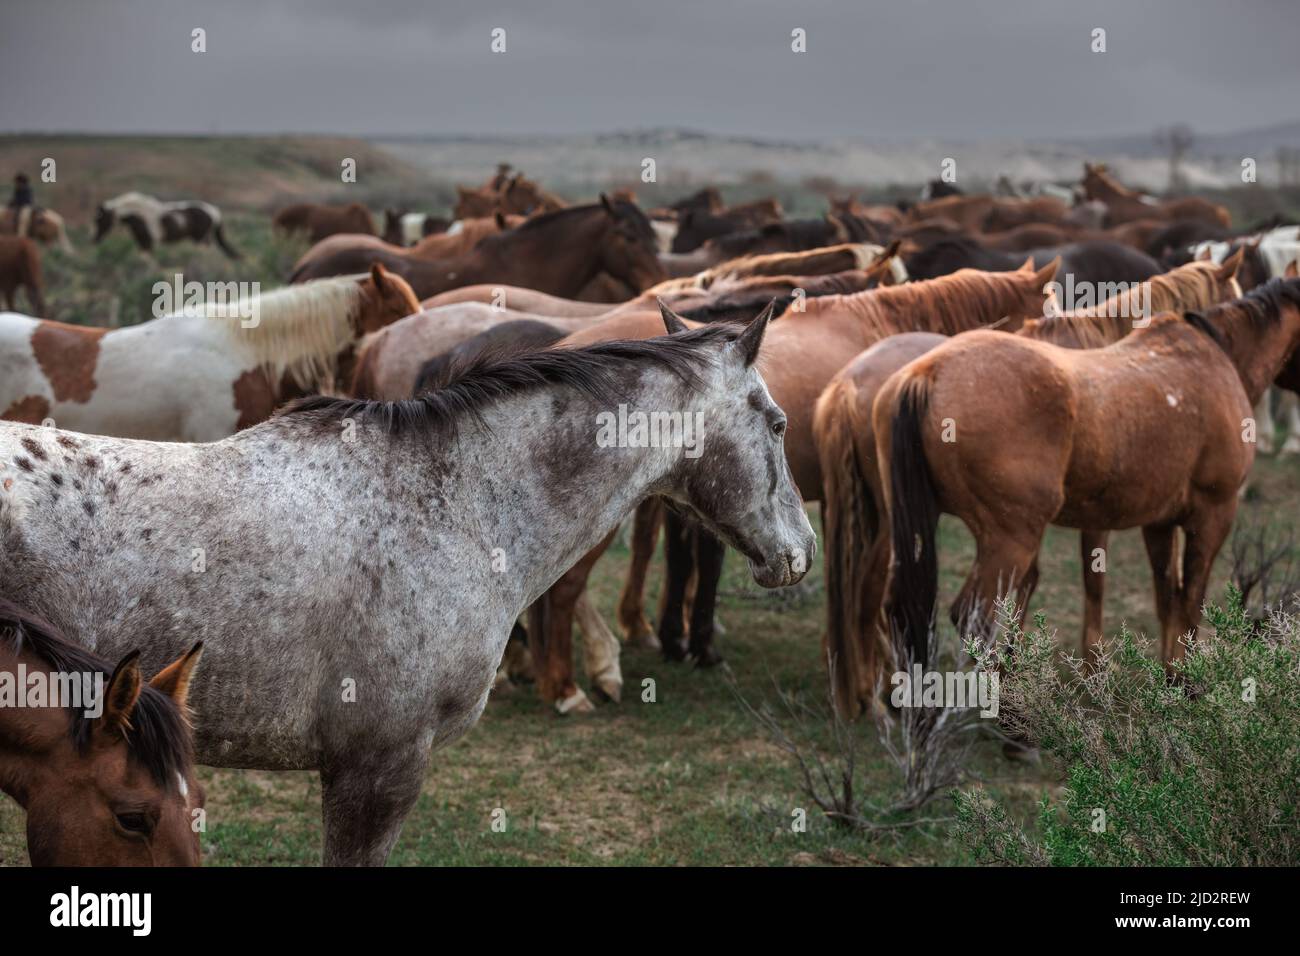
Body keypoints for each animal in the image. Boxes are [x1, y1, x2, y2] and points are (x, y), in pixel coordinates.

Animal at [95, 192, 240, 258]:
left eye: (100, 220)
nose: (95, 239)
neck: (139, 214)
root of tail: (214, 211)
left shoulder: (148, 242)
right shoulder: (141, 243)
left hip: (200, 239)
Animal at [877, 276, 1300, 687]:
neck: (1215, 358)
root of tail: (928, 374)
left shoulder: (1159, 523)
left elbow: (1167, 600)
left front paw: (1172, 678)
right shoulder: (1213, 515)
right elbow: (1191, 603)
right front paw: (1188, 684)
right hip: (1009, 541)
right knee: (974, 619)